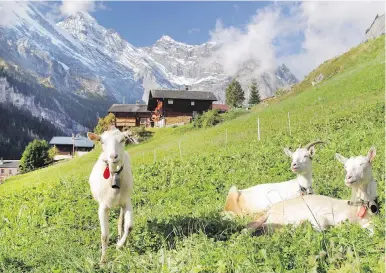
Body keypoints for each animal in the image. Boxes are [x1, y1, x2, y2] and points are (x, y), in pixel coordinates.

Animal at [87, 127, 134, 264]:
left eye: (123, 140)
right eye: (102, 142)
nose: (113, 156)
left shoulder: (127, 201)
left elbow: (129, 226)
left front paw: (119, 245)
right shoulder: (102, 206)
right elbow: (104, 236)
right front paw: (103, 261)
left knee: (120, 221)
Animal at [247, 147, 376, 234]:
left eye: (363, 164)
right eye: (345, 167)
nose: (348, 177)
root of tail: (270, 210)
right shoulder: (321, 216)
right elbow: (322, 226)